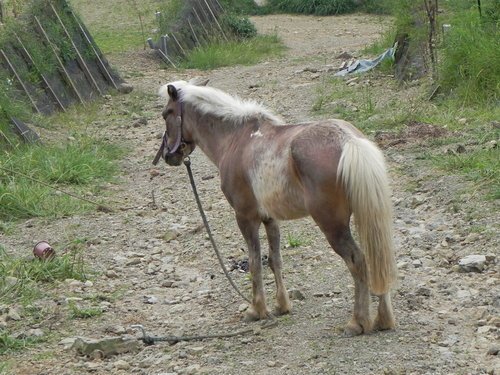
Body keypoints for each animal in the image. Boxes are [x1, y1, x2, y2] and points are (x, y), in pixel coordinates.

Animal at [154, 78, 396, 336]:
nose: (168, 156)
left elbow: (254, 262)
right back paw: (383, 319)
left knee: (357, 261)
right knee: (376, 259)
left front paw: (256, 309)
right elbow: (274, 260)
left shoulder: (245, 217)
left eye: (166, 114)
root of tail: (350, 141)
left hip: (332, 225)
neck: (237, 139)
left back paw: (357, 322)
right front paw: (282, 306)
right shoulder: (270, 219)